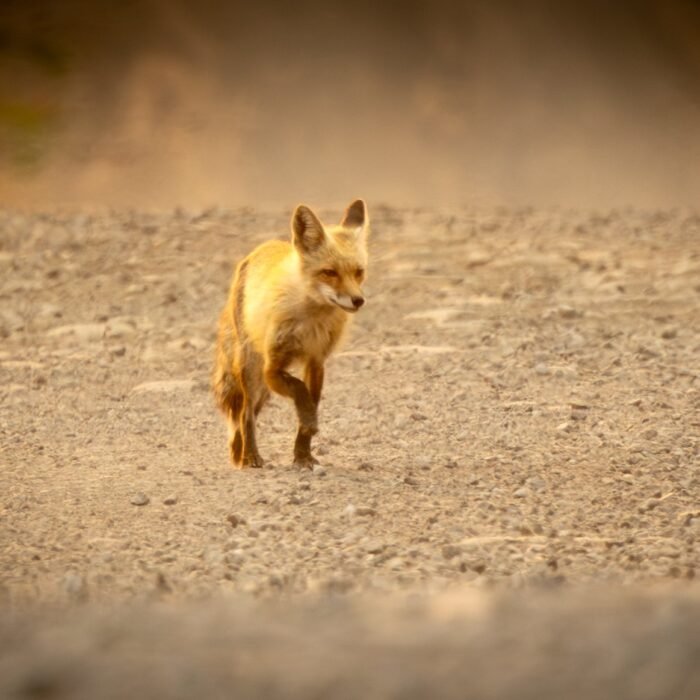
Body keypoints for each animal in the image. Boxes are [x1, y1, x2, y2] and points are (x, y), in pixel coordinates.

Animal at [212, 199, 369, 469]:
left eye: (358, 272)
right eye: (330, 272)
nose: (358, 300)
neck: (311, 321)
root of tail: (261, 248)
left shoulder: (316, 361)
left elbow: (310, 400)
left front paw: (303, 454)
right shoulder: (272, 367)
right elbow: (299, 390)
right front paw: (308, 421)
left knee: (246, 413)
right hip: (251, 369)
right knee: (245, 414)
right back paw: (249, 455)